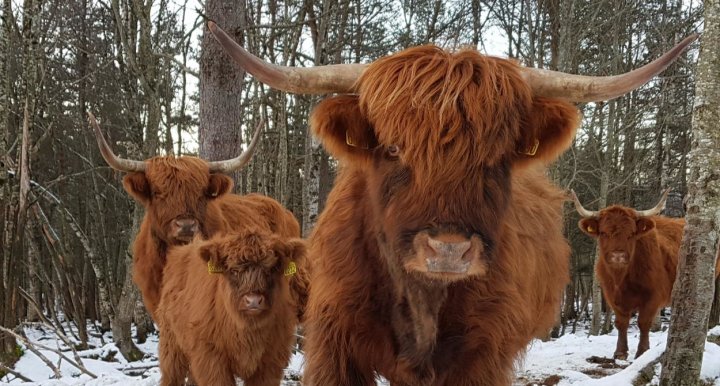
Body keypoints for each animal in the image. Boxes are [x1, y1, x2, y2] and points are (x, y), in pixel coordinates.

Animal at [158, 231, 306, 384]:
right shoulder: (211, 358)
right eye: (234, 270)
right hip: (171, 344)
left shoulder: (271, 361)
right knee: (171, 375)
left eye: (270, 270)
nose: (253, 301)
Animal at [572, 189, 716, 358]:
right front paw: (620, 352)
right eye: (603, 233)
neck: (622, 279)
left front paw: (642, 351)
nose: (618, 256)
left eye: (631, 233)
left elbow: (644, 322)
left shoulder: (653, 297)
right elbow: (621, 323)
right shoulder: (611, 296)